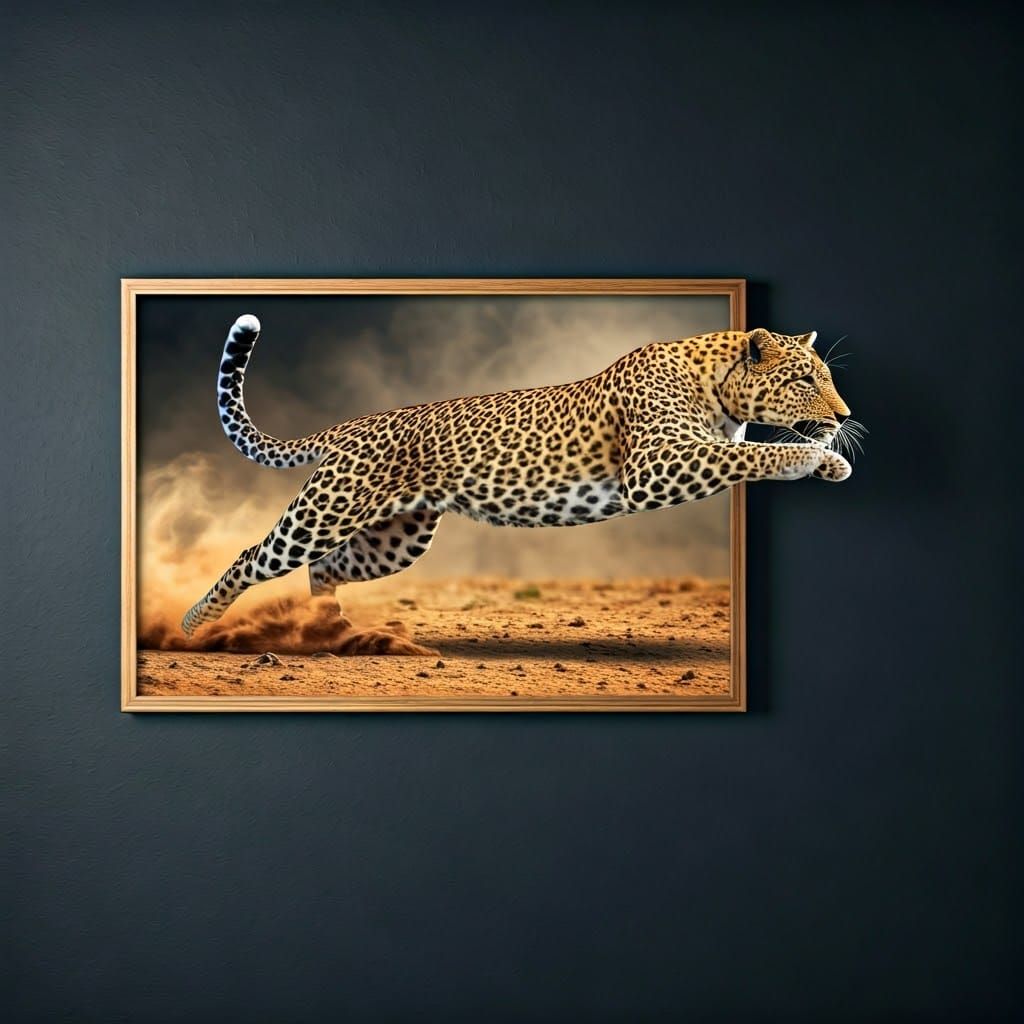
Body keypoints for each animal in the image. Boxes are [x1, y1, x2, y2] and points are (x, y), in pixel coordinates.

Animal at [182, 314, 857, 635]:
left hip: (396, 539)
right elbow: (754, 455)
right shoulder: (657, 466)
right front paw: (809, 456)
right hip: (324, 513)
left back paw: (330, 632)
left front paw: (832, 457)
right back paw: (193, 627)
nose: (845, 415)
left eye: (825, 375)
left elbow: (744, 451)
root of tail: (345, 428)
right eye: (805, 378)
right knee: (252, 556)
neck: (719, 387)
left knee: (325, 570)